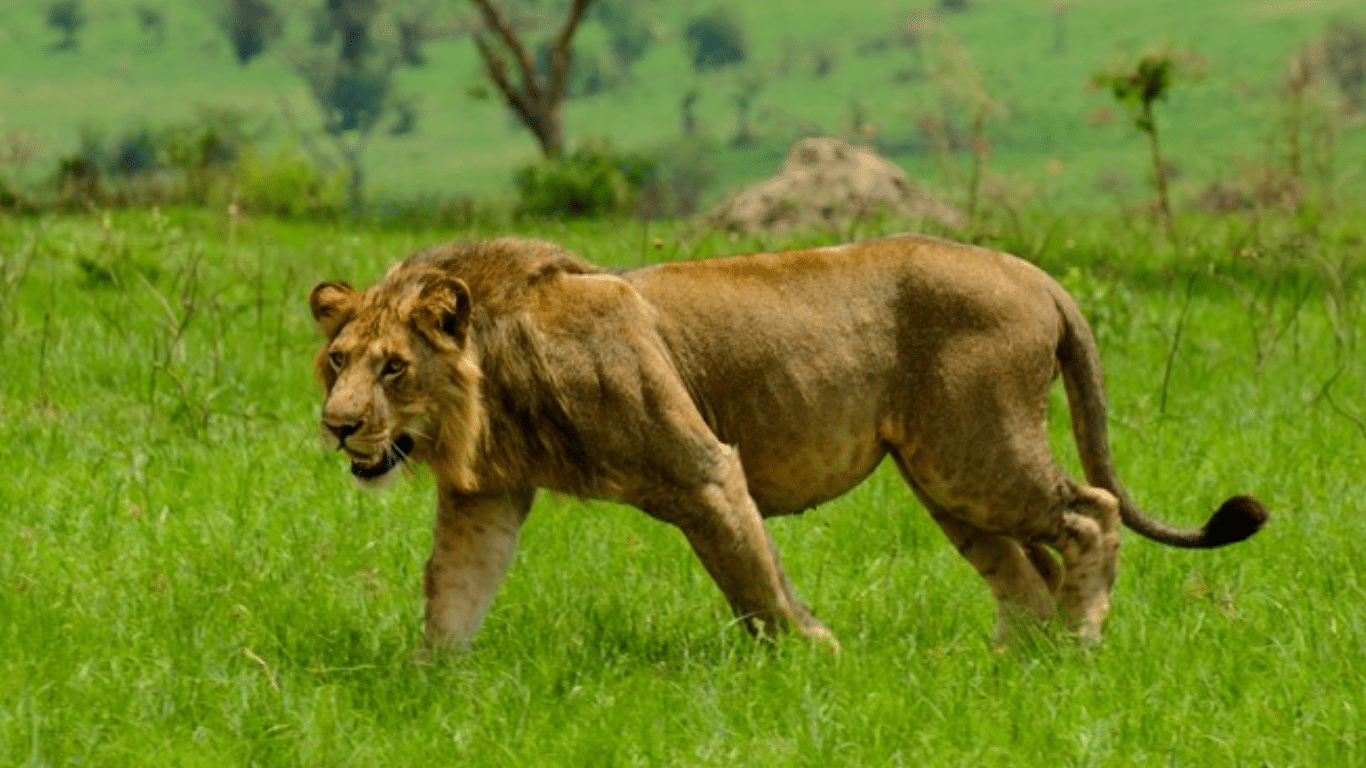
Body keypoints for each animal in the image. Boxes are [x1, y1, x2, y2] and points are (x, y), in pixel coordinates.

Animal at [310, 232, 1267, 645]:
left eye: (394, 368)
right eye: (337, 362)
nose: (337, 426)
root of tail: (1036, 274)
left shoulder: (702, 470)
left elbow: (753, 582)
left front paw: (817, 658)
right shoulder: (486, 497)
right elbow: (452, 593)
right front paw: (432, 688)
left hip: (979, 451)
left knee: (1090, 513)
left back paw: (1076, 646)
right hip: (947, 477)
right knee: (1028, 572)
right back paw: (1014, 667)